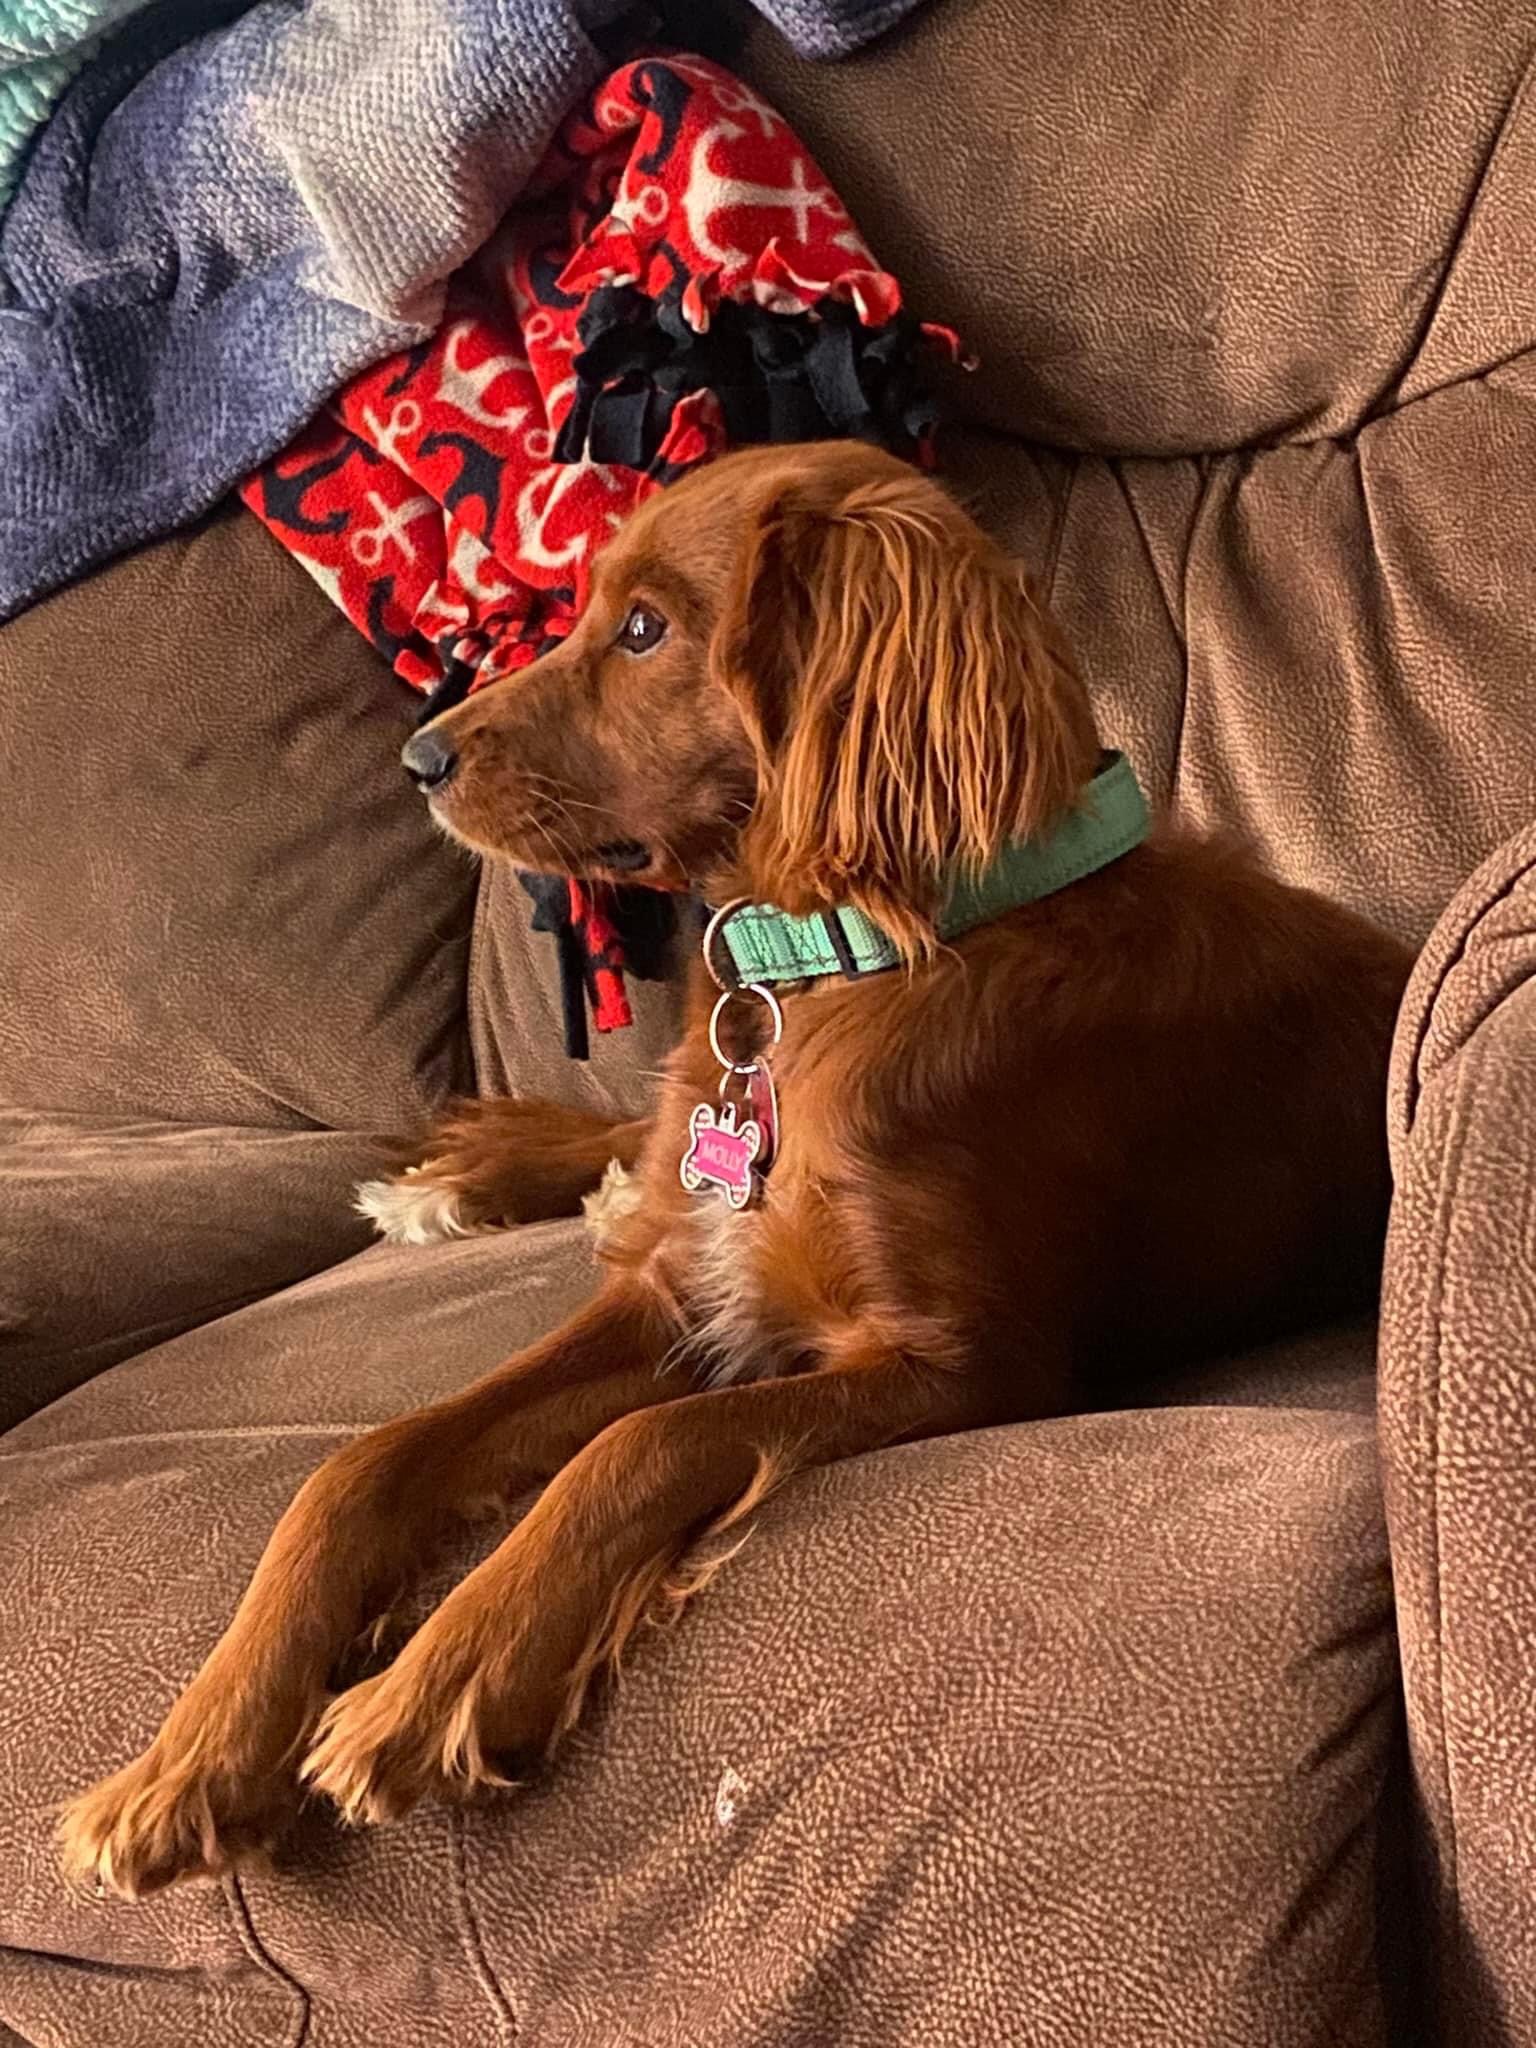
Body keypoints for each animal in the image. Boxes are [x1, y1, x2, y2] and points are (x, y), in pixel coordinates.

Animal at [59, 440, 1413, 1899]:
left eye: (647, 630)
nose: (417, 756)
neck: (850, 959)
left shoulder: (961, 1364)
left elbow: (640, 1444)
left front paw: (442, 1676)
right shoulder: (676, 1293)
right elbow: (366, 1459)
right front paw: (187, 1760)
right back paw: (477, 1174)